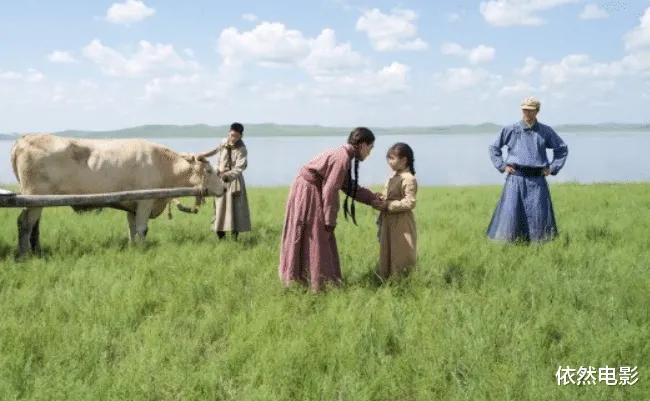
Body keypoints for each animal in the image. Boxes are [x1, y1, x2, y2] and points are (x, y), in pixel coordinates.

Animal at [10, 133, 228, 255]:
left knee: (33, 225)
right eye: (209, 171)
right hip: (34, 198)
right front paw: (142, 249)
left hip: (37, 201)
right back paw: (25, 254)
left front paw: (133, 248)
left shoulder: (132, 205)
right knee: (25, 223)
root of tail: (24, 139)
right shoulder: (145, 202)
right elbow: (142, 229)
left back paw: (36, 250)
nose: (225, 188)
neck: (163, 164)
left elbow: (131, 229)